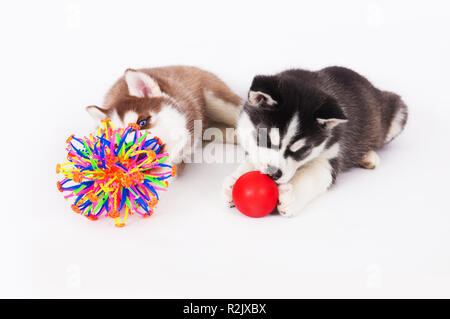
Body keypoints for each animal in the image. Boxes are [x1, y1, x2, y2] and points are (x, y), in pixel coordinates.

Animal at [224, 67, 408, 218]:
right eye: (266, 139)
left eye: (301, 150)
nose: (274, 173)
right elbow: (253, 158)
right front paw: (234, 181)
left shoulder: (333, 155)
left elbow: (313, 176)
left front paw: (292, 195)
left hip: (398, 111)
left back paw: (367, 156)